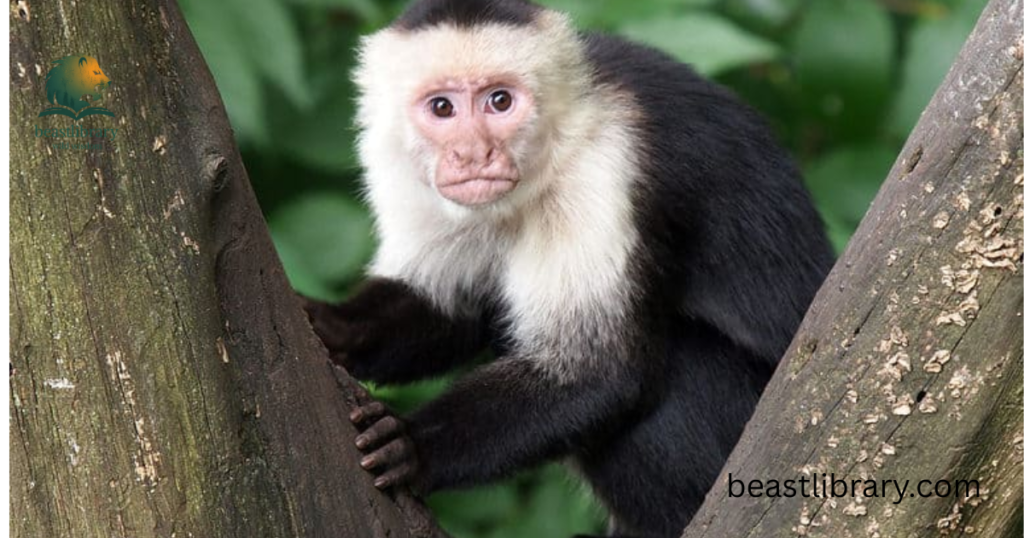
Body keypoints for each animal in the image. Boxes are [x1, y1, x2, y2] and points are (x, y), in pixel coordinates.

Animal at [302, 0, 834, 536]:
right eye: (442, 108)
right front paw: (332, 326)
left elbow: (596, 373)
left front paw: (415, 446)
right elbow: (453, 310)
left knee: (679, 362)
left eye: (499, 101)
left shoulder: (601, 168)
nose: (474, 154)